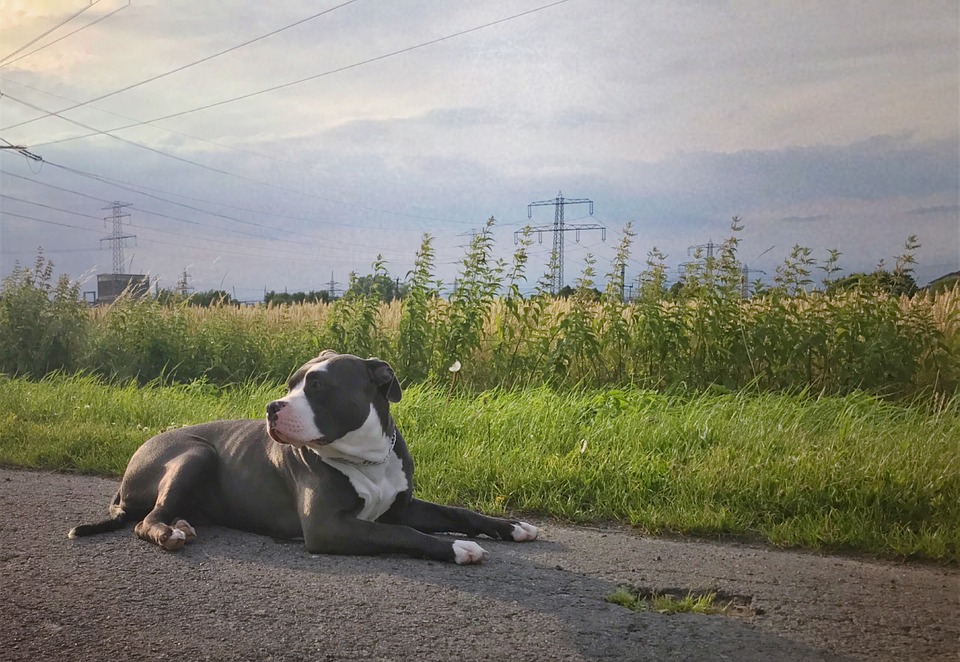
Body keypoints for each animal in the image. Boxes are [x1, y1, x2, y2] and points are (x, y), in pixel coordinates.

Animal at [69, 352, 532, 564]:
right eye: (291, 384)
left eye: (318, 386)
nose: (272, 407)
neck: (366, 458)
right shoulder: (330, 527)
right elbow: (405, 535)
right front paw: (458, 548)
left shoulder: (404, 506)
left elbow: (456, 512)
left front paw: (511, 527)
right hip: (195, 453)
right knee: (148, 520)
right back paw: (170, 532)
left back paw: (182, 523)